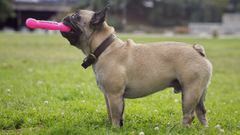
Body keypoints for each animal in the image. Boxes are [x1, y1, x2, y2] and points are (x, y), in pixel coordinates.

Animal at [60, 6, 212, 127]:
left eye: (76, 17)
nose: (65, 17)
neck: (104, 47)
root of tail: (196, 49)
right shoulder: (108, 96)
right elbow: (112, 114)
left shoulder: (114, 95)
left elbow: (115, 115)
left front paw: (115, 129)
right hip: (199, 92)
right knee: (201, 112)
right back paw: (204, 129)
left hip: (190, 92)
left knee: (189, 115)